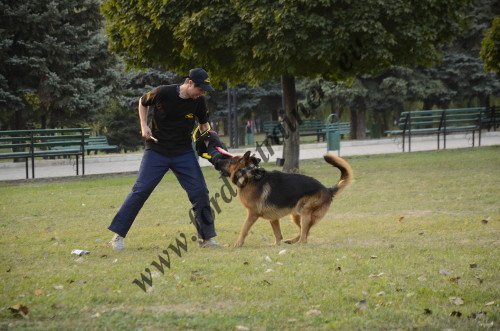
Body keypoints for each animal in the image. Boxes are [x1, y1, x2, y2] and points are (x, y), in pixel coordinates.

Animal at [218, 152, 352, 248]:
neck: (249, 174)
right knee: (305, 231)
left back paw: (298, 244)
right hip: (296, 215)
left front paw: (237, 244)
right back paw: (292, 241)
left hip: (303, 212)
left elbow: (244, 229)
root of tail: (327, 190)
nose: (217, 160)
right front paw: (276, 245)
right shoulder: (273, 218)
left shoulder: (252, 214)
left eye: (230, 160)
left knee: (304, 236)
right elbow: (278, 235)